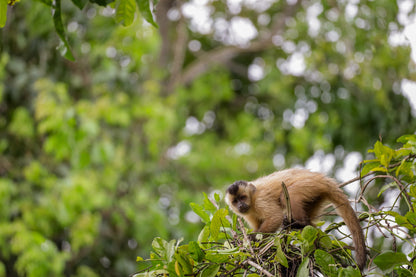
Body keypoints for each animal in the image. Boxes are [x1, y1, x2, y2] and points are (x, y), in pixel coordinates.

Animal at [226, 168, 366, 270]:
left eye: (243, 197)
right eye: (235, 201)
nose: (240, 205)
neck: (252, 199)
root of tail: (322, 178)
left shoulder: (260, 199)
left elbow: (275, 217)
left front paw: (250, 239)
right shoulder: (247, 213)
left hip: (309, 185)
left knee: (288, 195)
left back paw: (299, 224)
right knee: (310, 225)